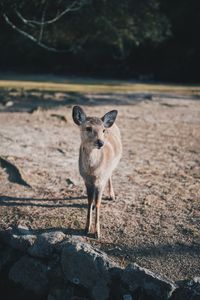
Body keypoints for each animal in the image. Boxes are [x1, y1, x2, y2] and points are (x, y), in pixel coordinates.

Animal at [72, 105, 122, 239]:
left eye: (103, 130)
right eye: (88, 128)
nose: (100, 142)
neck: (92, 170)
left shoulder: (100, 180)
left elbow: (99, 203)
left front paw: (97, 233)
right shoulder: (86, 180)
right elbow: (89, 201)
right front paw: (86, 229)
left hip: (113, 165)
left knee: (110, 175)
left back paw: (112, 195)